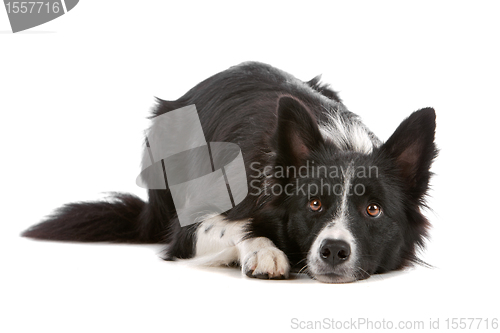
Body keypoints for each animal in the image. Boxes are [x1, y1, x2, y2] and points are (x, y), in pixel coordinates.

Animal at [22, 61, 438, 282]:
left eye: (373, 210)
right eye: (314, 204)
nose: (334, 249)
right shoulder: (190, 229)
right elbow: (234, 226)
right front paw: (264, 250)